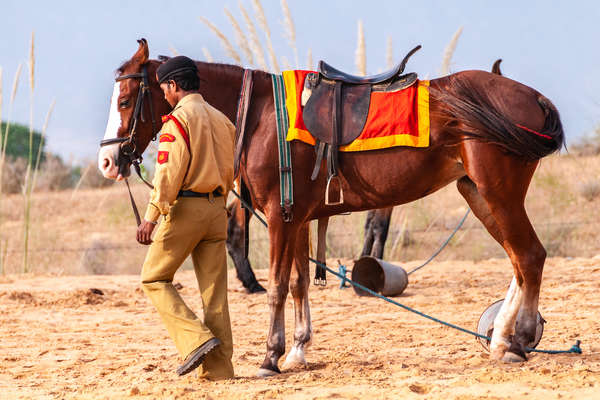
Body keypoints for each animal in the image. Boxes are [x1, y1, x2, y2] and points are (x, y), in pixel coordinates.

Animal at [98, 39, 564, 376]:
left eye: (124, 101)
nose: (107, 161)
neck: (261, 114)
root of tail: (532, 97)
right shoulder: (299, 218)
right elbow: (301, 282)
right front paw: (298, 350)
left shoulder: (280, 218)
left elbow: (279, 286)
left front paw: (271, 356)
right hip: (479, 193)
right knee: (519, 261)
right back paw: (502, 338)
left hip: (498, 193)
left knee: (529, 256)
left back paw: (518, 341)